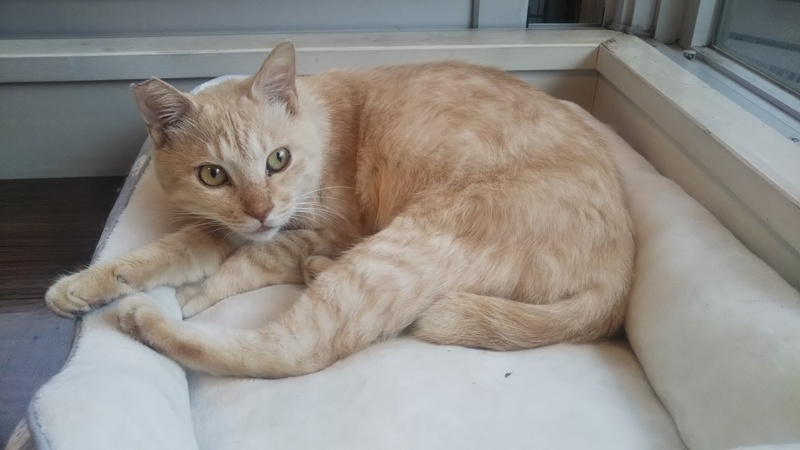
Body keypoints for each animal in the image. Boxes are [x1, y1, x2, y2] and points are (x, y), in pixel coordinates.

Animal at [45, 41, 635, 378]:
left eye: (277, 159)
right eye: (213, 175)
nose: (261, 210)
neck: (323, 128)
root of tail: (617, 285)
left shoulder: (321, 230)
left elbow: (238, 269)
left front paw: (191, 297)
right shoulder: (228, 229)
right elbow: (158, 254)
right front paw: (80, 286)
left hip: (404, 247)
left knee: (296, 350)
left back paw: (149, 319)